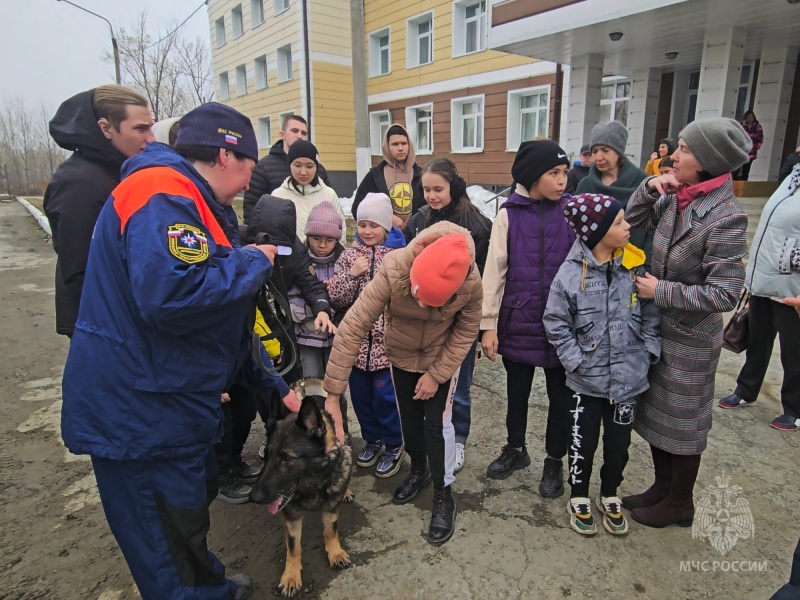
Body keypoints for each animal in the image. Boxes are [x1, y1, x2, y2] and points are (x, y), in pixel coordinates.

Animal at [248, 384, 352, 596]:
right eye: (267, 455)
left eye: (287, 458)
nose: (253, 497)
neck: (312, 484)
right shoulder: (291, 517)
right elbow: (293, 547)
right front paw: (291, 575)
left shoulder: (331, 508)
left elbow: (330, 530)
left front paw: (335, 552)